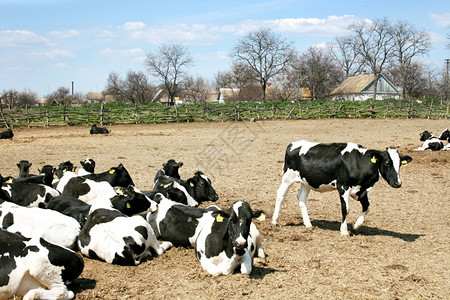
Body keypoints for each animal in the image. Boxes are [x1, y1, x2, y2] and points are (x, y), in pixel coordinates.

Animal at [270, 141, 412, 237]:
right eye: (387, 163)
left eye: (400, 164)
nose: (398, 183)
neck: (359, 162)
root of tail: (293, 144)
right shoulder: (343, 186)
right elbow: (346, 209)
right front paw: (344, 231)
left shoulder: (361, 190)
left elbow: (367, 207)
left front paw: (355, 226)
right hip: (287, 177)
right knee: (280, 195)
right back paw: (274, 221)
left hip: (306, 181)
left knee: (301, 198)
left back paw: (308, 224)